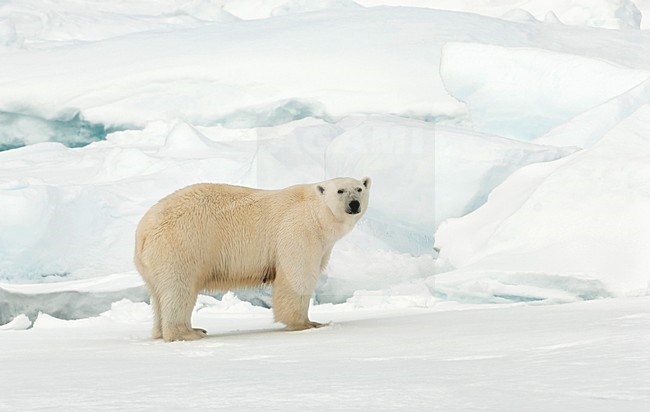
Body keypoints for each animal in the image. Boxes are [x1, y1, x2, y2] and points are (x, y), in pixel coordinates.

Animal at [132, 177, 370, 342]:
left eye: (359, 188)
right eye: (340, 190)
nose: (354, 204)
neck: (316, 212)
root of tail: (142, 232)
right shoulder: (298, 230)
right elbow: (297, 276)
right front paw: (307, 323)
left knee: (159, 294)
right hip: (183, 245)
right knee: (179, 289)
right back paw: (189, 332)